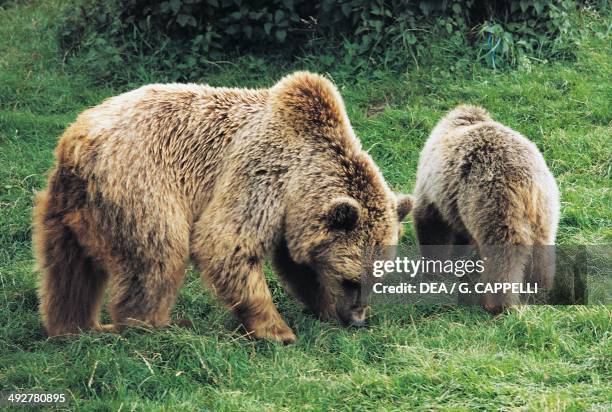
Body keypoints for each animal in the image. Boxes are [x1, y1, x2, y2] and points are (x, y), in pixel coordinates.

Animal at [31, 71, 408, 344]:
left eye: (378, 280)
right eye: (351, 280)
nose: (357, 319)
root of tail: (77, 141)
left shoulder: (292, 215)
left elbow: (298, 266)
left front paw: (324, 309)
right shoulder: (261, 174)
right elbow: (225, 243)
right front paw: (279, 331)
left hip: (63, 209)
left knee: (69, 272)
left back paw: (76, 327)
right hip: (140, 186)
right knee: (158, 255)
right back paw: (154, 325)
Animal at [412, 104, 560, 314]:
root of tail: (526, 185)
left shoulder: (434, 191)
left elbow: (431, 227)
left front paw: (433, 271)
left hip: (493, 204)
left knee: (503, 255)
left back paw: (499, 303)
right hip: (544, 209)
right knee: (542, 248)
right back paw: (539, 288)